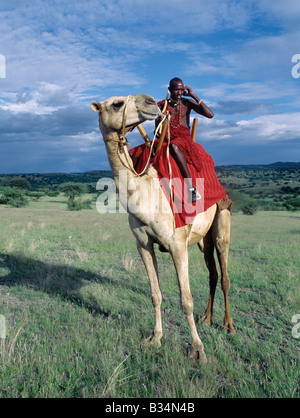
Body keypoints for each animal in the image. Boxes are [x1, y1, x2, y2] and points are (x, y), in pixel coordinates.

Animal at [90, 94, 236, 362]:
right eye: (117, 103)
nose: (150, 101)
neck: (146, 194)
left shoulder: (177, 244)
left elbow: (186, 300)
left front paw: (198, 350)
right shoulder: (143, 244)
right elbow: (155, 294)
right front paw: (155, 338)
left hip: (222, 220)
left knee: (225, 275)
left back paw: (228, 324)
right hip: (203, 240)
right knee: (212, 273)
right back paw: (207, 318)